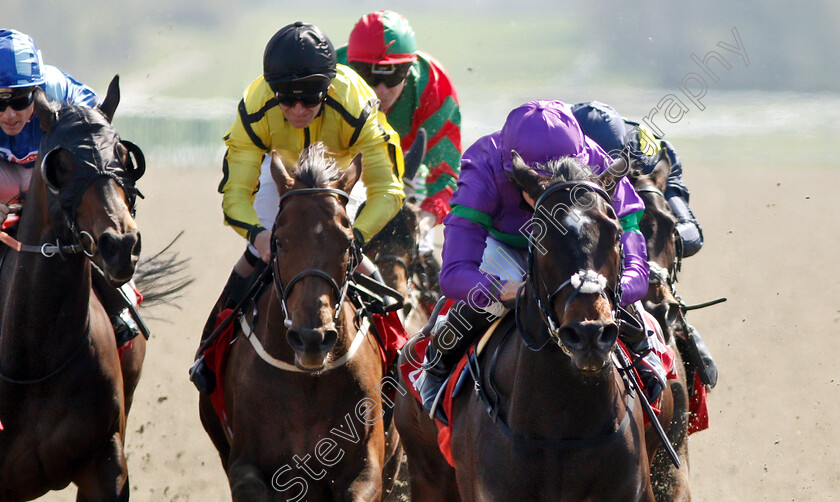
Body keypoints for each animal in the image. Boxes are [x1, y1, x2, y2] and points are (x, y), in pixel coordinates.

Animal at [200, 144, 404, 498]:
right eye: (279, 240)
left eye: (347, 243)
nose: (312, 338)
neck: (306, 381)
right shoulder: (243, 464)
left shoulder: (367, 471)